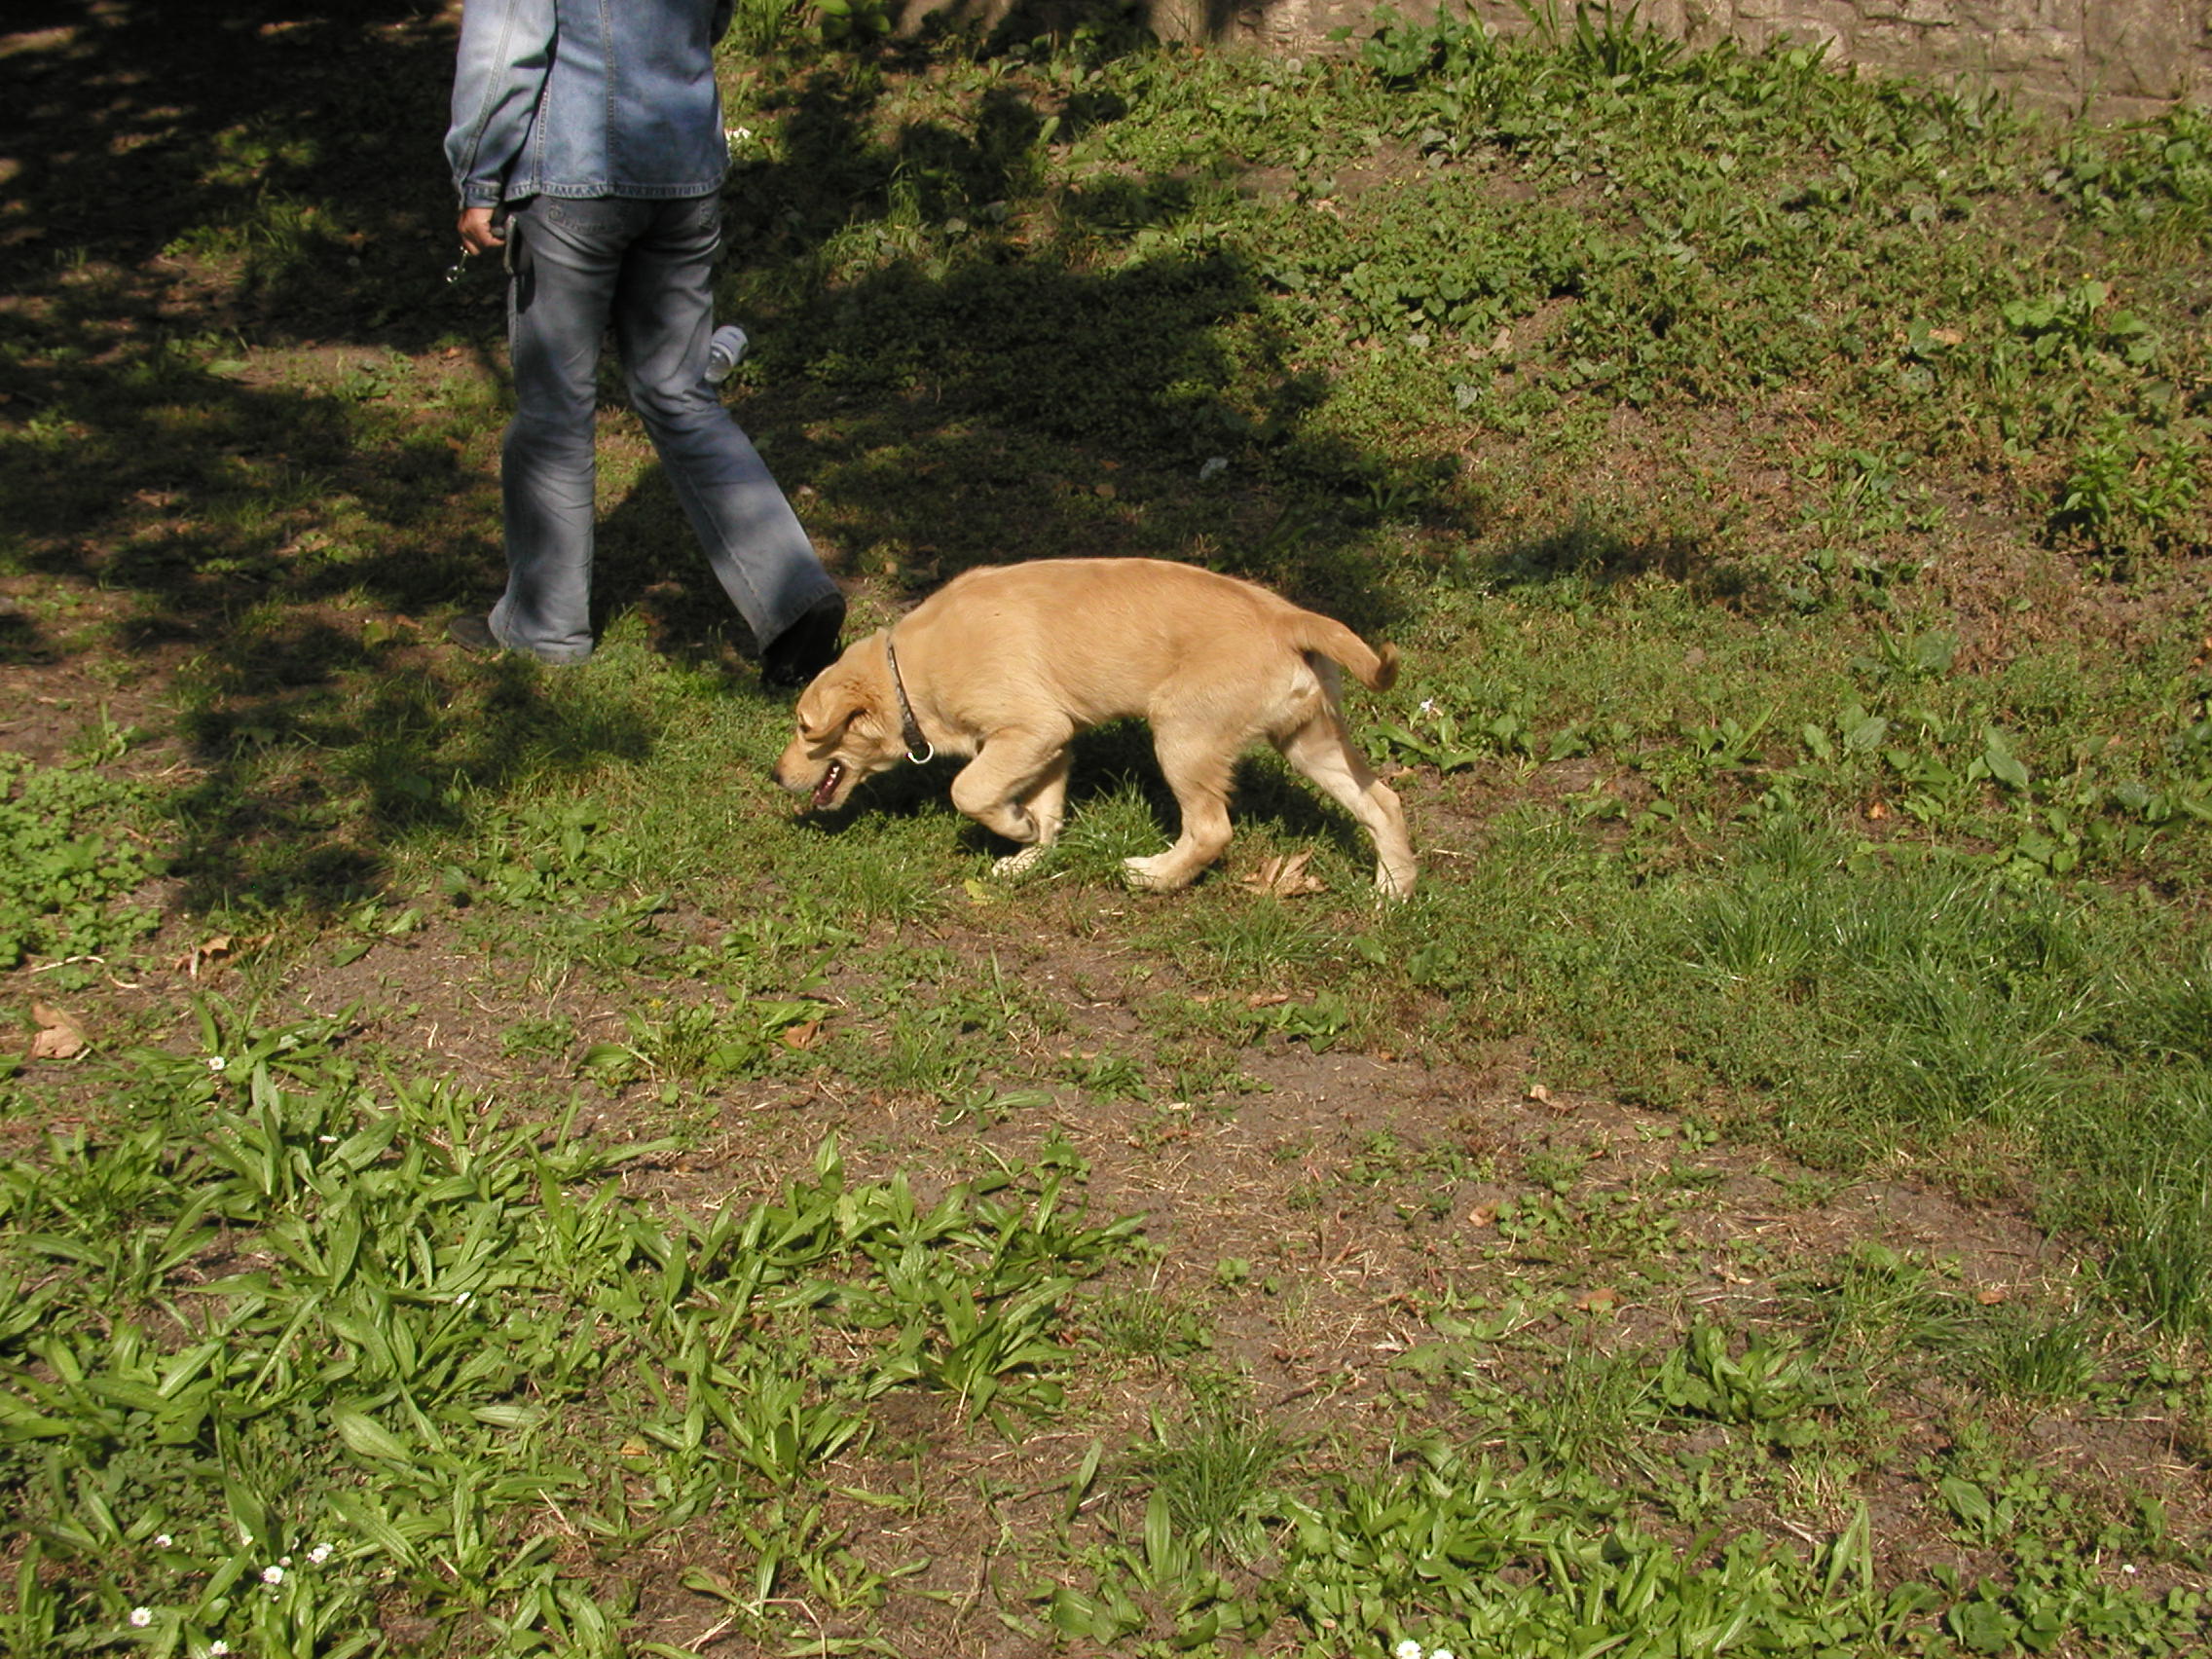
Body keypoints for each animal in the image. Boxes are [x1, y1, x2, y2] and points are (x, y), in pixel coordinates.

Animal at [773, 558, 1417, 897]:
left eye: (805, 728)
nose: (777, 776)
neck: (907, 670)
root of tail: (1290, 619)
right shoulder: (1051, 743)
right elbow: (1047, 807)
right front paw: (1029, 851)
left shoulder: (1031, 729)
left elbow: (969, 789)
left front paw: (1014, 826)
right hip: (1308, 740)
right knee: (1383, 801)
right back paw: (1392, 893)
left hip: (1182, 736)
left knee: (1211, 829)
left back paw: (1153, 876)